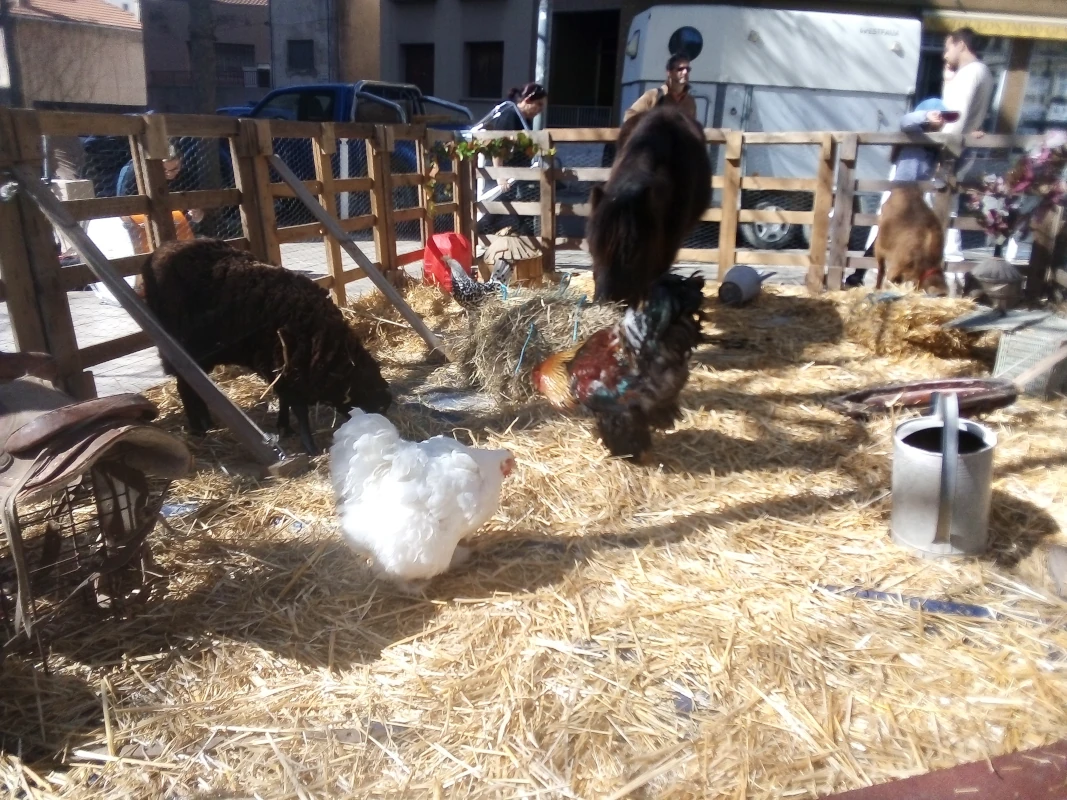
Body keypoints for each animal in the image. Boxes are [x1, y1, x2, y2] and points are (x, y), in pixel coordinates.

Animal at [140, 239, 392, 456]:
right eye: (369, 394)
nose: (386, 406)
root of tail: (158, 252)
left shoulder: (283, 369)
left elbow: (285, 400)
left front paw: (285, 428)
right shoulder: (287, 366)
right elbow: (297, 407)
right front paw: (308, 445)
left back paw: (206, 422)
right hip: (181, 347)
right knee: (185, 386)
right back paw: (198, 428)